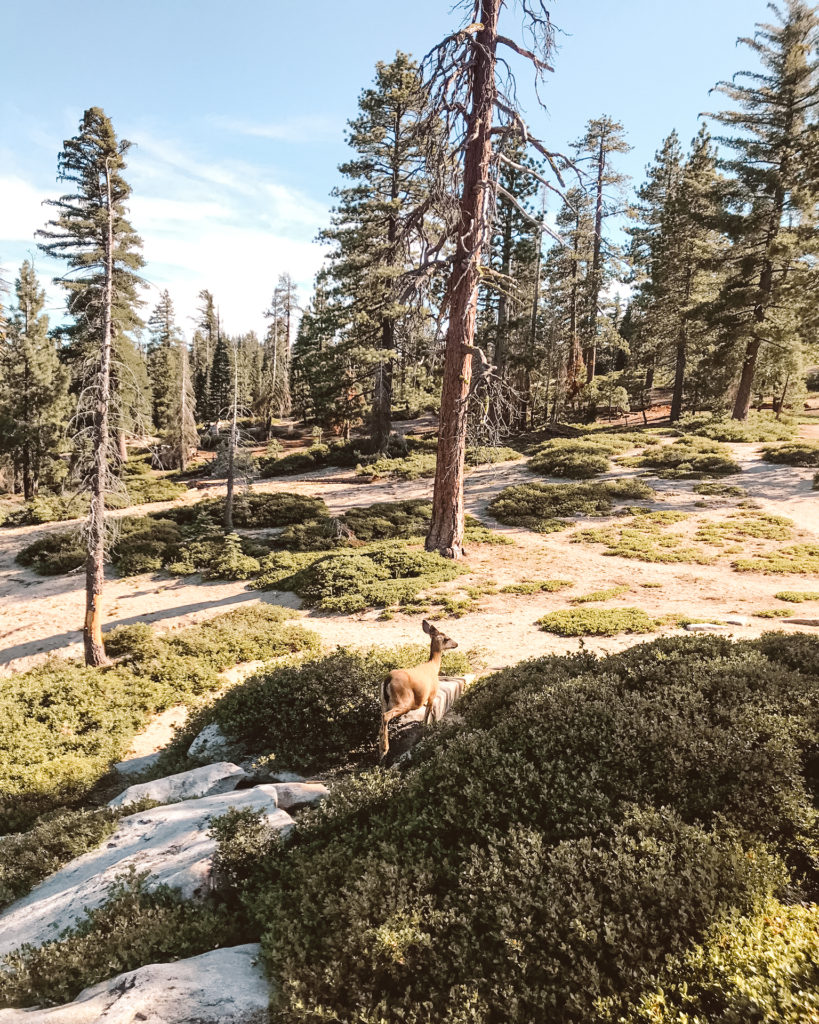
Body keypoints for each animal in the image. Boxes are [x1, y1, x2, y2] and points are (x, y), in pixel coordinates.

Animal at [378, 619, 458, 759]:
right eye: (447, 638)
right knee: (385, 716)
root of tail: (387, 679)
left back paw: (380, 752)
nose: (456, 644)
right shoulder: (432, 694)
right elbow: (427, 716)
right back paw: (384, 749)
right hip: (403, 701)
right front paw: (426, 731)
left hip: (384, 702)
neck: (433, 666)